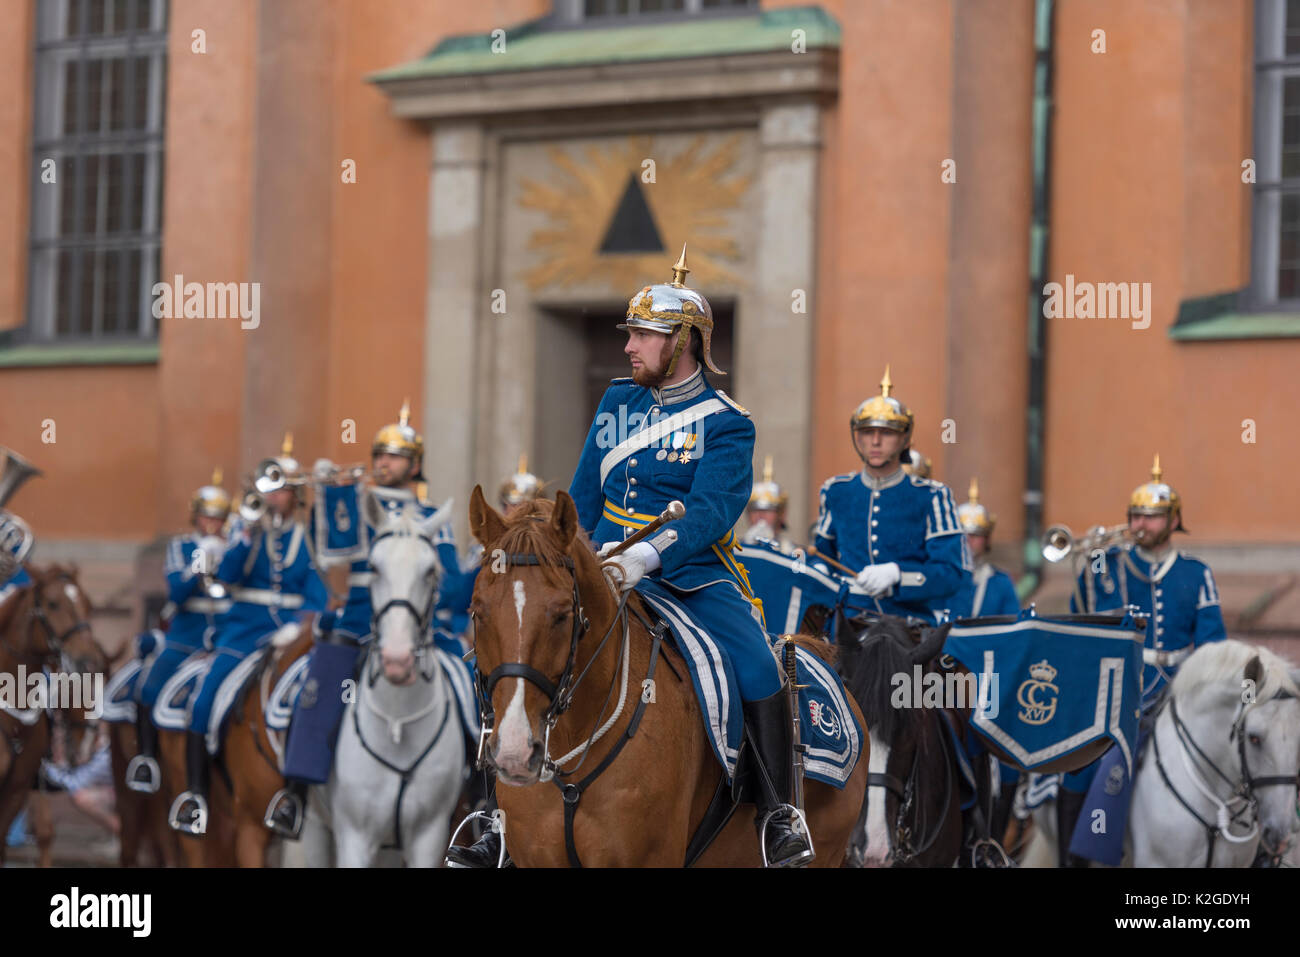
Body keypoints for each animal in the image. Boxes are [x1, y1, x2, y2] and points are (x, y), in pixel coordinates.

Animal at [308, 494, 462, 868]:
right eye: (374, 568)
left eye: (431, 571)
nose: (397, 660)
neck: (397, 722)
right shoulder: (354, 837)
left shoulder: (428, 836)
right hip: (315, 826)